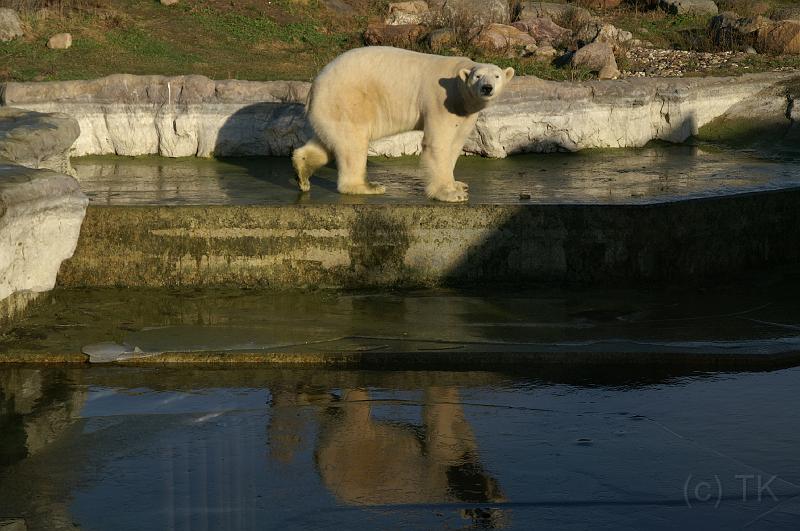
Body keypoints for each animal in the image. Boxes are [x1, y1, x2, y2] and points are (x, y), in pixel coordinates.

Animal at [292, 45, 512, 203]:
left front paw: (458, 184)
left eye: (497, 75)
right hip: (348, 100)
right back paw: (368, 187)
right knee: (352, 144)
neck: (458, 88)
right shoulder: (439, 101)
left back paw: (302, 169)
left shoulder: (464, 112)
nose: (487, 88)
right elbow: (438, 144)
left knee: (329, 142)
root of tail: (314, 86)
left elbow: (455, 144)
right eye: (478, 76)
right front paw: (450, 194)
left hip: (331, 109)